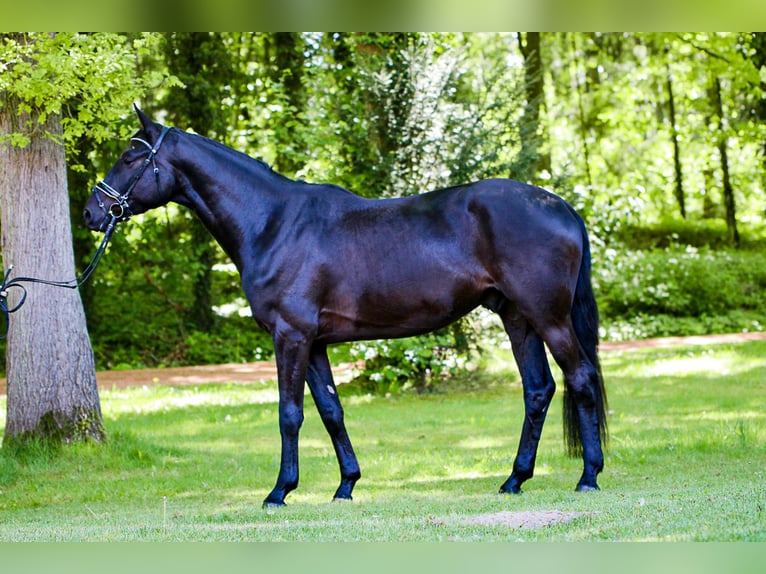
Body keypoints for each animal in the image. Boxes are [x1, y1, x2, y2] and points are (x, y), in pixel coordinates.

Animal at [84, 107, 607, 507]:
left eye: (130, 156)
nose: (91, 212)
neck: (272, 223)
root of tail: (560, 206)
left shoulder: (290, 336)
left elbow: (289, 413)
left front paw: (279, 492)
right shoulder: (314, 343)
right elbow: (331, 411)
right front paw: (346, 486)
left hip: (549, 318)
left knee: (580, 378)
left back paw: (588, 476)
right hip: (518, 319)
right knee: (538, 390)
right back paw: (514, 479)